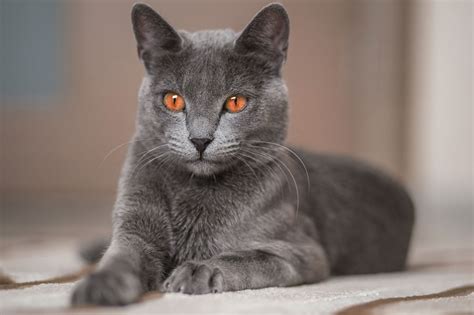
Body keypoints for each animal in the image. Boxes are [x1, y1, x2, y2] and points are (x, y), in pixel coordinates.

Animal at [70, 2, 414, 308]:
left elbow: (246, 256)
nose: (200, 139)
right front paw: (99, 284)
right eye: (173, 100)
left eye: (235, 102)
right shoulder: (134, 227)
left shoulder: (303, 250)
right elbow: (121, 255)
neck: (194, 193)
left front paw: (198, 270)